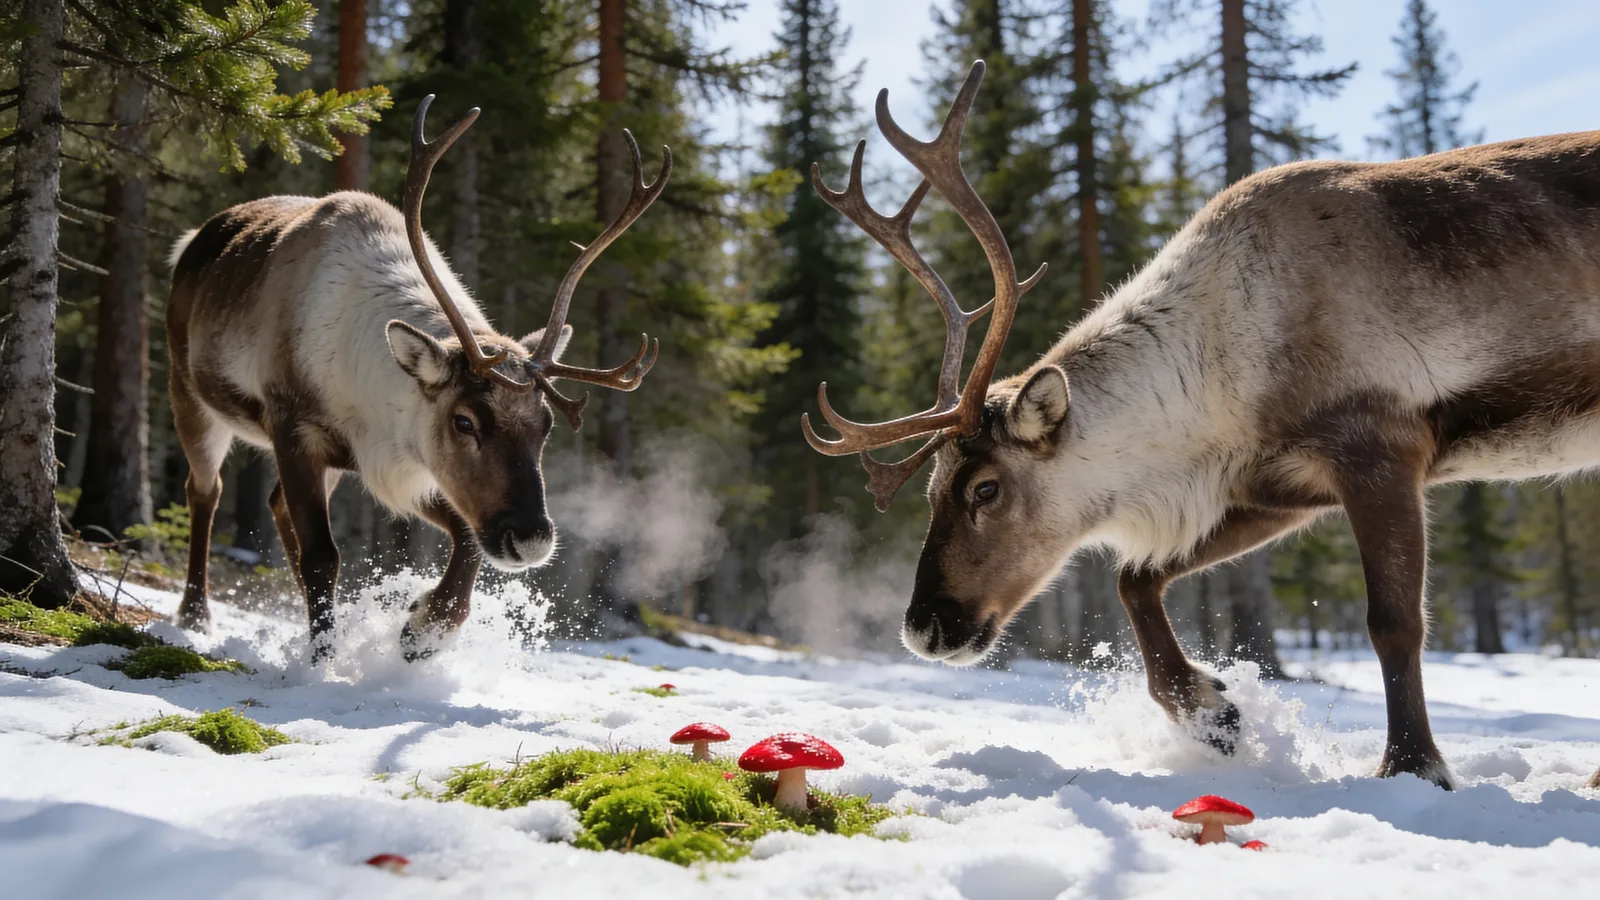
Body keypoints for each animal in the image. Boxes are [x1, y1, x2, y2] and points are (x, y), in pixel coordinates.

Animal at [165, 98, 670, 661]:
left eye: (545, 426)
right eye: (464, 421)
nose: (531, 539)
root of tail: (190, 241)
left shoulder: (409, 463)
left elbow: (467, 541)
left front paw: (420, 628)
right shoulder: (295, 429)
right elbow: (323, 554)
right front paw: (322, 661)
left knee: (274, 506)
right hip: (190, 393)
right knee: (205, 490)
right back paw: (195, 613)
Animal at [803, 60, 1600, 791]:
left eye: (987, 489)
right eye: (933, 487)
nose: (924, 627)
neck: (1226, 358)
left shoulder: (1380, 451)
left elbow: (1394, 623)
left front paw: (1413, 767)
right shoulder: (1278, 487)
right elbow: (1134, 576)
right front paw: (1213, 712)